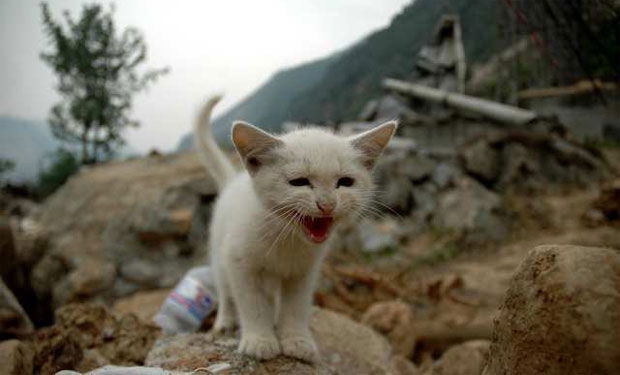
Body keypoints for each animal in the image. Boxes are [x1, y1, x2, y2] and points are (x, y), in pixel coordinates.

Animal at [194, 95, 398, 362]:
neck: (286, 238)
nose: (327, 204)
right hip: (219, 254)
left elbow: (296, 306)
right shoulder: (239, 262)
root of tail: (233, 181)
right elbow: (251, 303)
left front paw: (296, 340)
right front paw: (260, 340)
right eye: (299, 182)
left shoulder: (304, 271)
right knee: (225, 290)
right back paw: (225, 322)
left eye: (345, 182)